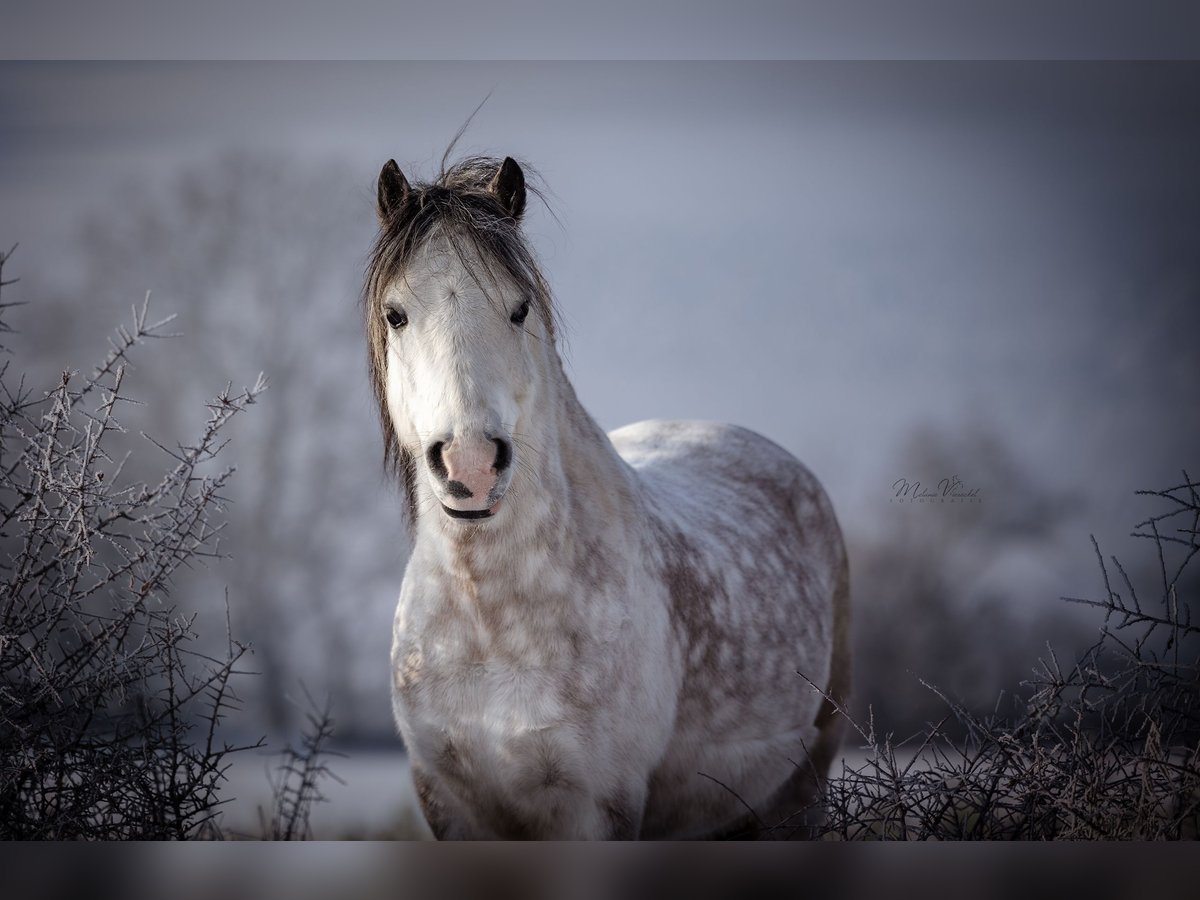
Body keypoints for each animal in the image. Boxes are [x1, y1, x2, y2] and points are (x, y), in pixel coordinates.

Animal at [360, 153, 849, 840]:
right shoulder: (446, 802)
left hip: (802, 789)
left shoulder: (597, 808)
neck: (488, 619)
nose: (470, 464)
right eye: (396, 313)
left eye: (520, 308)